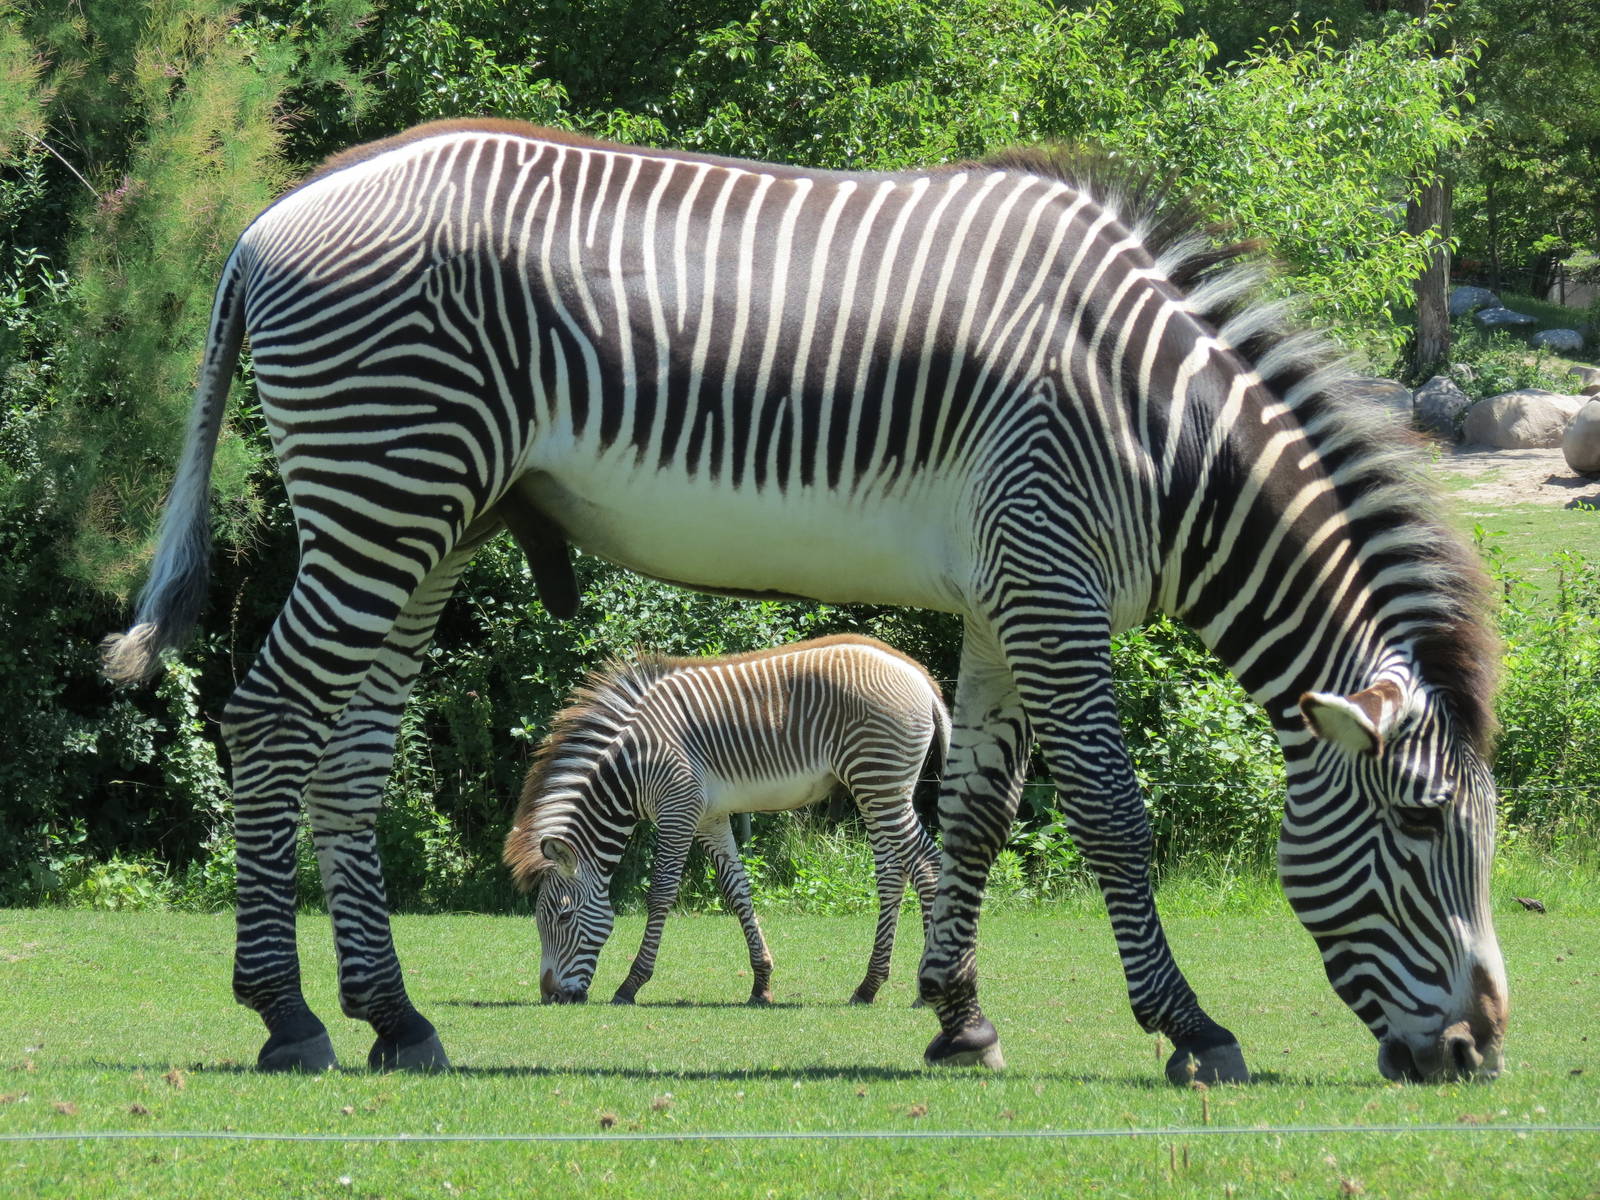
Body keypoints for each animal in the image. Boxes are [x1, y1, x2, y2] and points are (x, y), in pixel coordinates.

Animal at [502, 634, 946, 1007]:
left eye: (562, 916)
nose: (552, 997)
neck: (630, 766)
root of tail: (920, 675)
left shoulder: (677, 809)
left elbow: (661, 893)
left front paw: (630, 985)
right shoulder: (708, 816)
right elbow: (737, 892)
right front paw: (761, 984)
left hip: (879, 782)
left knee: (927, 868)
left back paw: (926, 991)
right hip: (877, 788)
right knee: (892, 876)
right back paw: (868, 987)